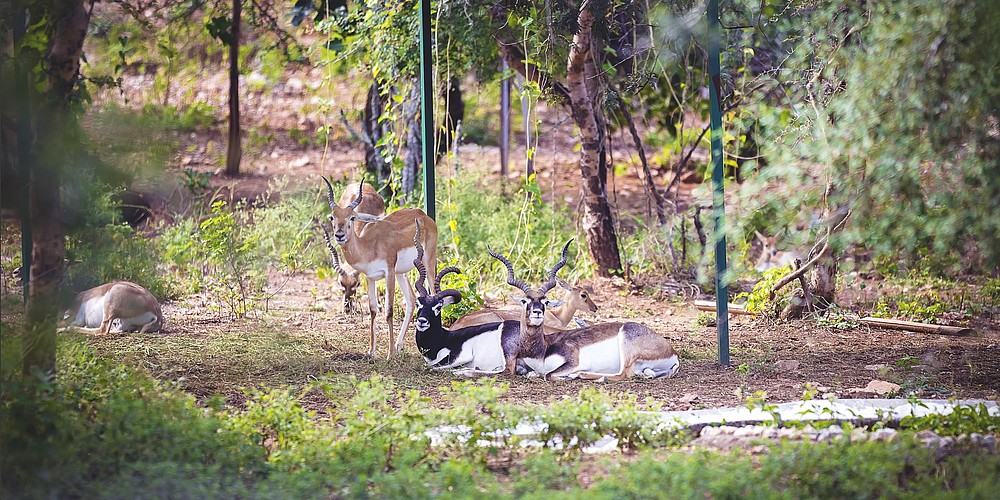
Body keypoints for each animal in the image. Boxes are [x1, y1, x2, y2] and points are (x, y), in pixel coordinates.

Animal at [408, 223, 524, 376]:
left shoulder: (461, 356)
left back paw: (465, 371)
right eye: (418, 304)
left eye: (438, 307)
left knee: (505, 371)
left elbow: (430, 366)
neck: (443, 340)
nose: (422, 321)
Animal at [486, 244, 680, 380]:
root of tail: (672, 351)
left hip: (627, 346)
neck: (542, 349)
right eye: (525, 301)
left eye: (545, 301)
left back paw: (581, 375)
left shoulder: (572, 361)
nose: (537, 312)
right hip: (645, 367)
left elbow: (548, 375)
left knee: (623, 374)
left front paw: (570, 375)